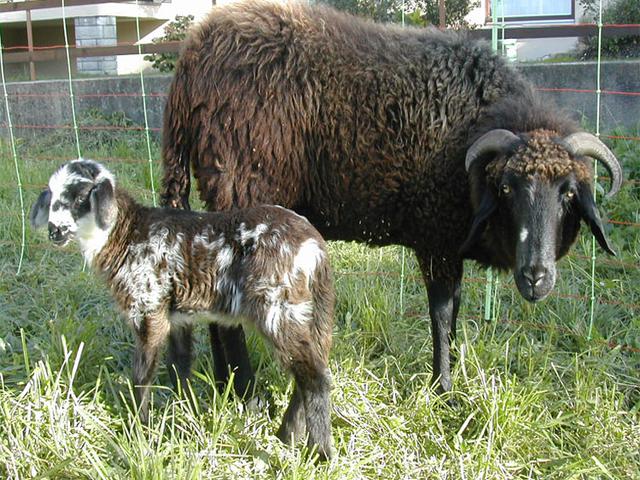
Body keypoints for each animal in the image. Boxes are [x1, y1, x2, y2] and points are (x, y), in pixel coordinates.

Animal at [30, 159, 336, 460]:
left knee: (314, 377)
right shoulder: (177, 316)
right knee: (310, 369)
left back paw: (319, 452)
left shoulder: (149, 308)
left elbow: (141, 374)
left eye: (81, 196)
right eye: (52, 196)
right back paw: (287, 436)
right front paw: (185, 416)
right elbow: (179, 365)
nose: (54, 230)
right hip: (310, 313)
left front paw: (138, 429)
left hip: (278, 307)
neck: (125, 234)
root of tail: (315, 248)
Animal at [160, 0, 623, 396]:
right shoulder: (436, 240)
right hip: (243, 189)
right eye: (506, 188)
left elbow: (454, 311)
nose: (536, 277)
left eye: (568, 193)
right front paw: (443, 389)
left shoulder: (450, 242)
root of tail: (191, 58)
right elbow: (441, 314)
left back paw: (226, 387)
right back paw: (249, 394)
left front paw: (452, 379)